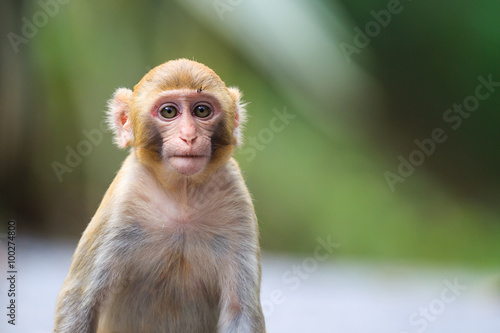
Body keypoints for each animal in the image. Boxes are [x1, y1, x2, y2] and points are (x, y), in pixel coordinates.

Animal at [51, 59, 266, 332]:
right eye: (169, 112)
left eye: (202, 111)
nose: (189, 136)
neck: (183, 195)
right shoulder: (122, 200)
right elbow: (78, 301)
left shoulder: (237, 201)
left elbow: (241, 311)